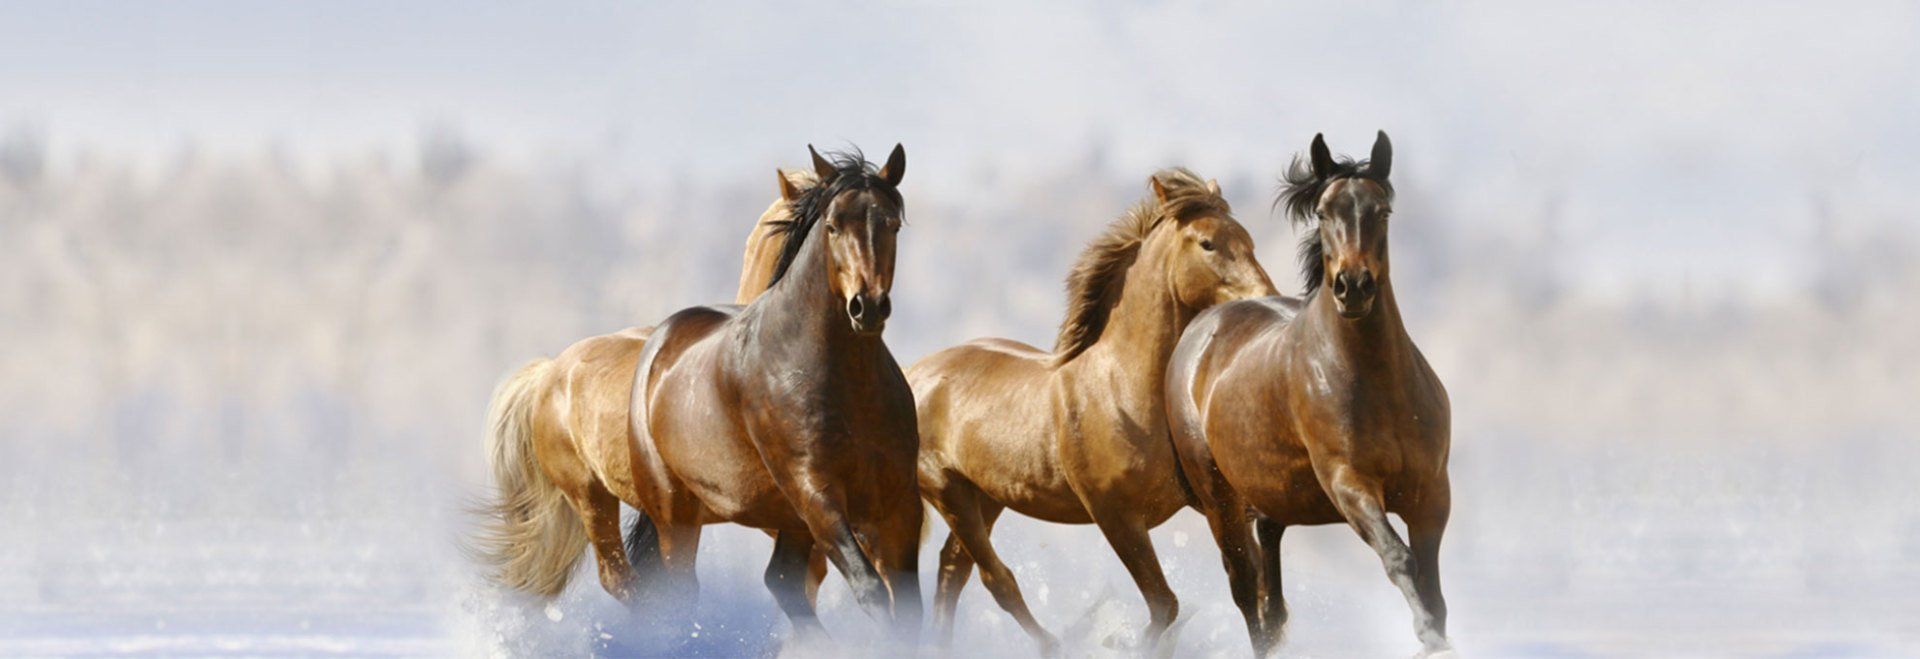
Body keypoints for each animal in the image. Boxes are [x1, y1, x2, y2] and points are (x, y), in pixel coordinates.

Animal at [476, 146, 923, 645]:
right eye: (832, 225)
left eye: (892, 223)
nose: (867, 306)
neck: (846, 382)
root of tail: (550, 372)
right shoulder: (817, 495)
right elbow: (870, 589)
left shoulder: (898, 503)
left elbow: (906, 604)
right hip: (635, 505)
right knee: (650, 588)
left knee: (774, 583)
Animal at [909, 169, 1275, 655]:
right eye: (1207, 243)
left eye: (1248, 239)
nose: (1266, 298)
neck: (1122, 390)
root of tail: (913, 374)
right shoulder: (1115, 516)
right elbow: (1165, 606)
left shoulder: (1215, 502)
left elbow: (1246, 585)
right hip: (947, 490)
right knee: (995, 579)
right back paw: (1054, 642)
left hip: (986, 495)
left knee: (954, 570)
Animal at [1165, 132, 1452, 657]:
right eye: (1322, 212)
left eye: (1382, 210)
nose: (1352, 287)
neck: (1378, 385)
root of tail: (1200, 331)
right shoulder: (1349, 483)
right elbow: (1399, 557)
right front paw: (1426, 634)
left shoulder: (1431, 494)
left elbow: (1433, 586)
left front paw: (1435, 632)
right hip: (1219, 500)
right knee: (1246, 593)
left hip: (1270, 498)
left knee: (1271, 595)